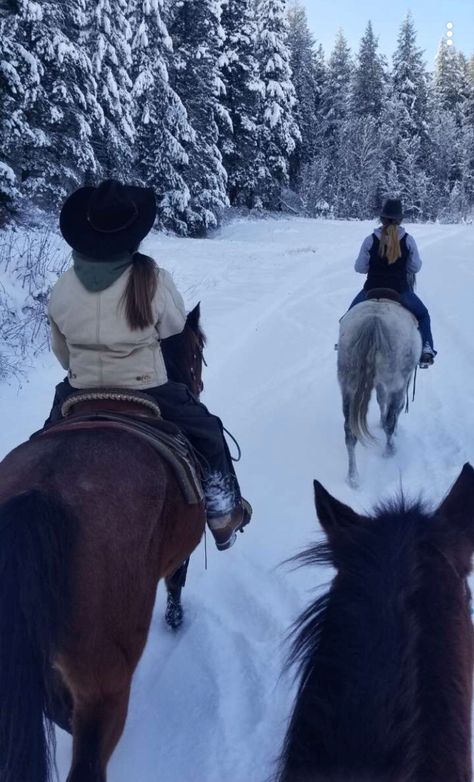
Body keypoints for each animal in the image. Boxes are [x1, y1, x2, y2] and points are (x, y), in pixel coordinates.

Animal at [0, 304, 207, 782]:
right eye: (198, 353)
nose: (199, 386)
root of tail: (38, 494)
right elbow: (176, 581)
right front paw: (174, 619)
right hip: (106, 682)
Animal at [338, 298, 420, 486]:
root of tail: (373, 322)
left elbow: (380, 400)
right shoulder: (401, 383)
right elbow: (393, 410)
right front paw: (392, 429)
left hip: (348, 387)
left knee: (349, 432)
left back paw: (353, 477)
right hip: (396, 382)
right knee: (391, 419)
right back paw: (390, 450)